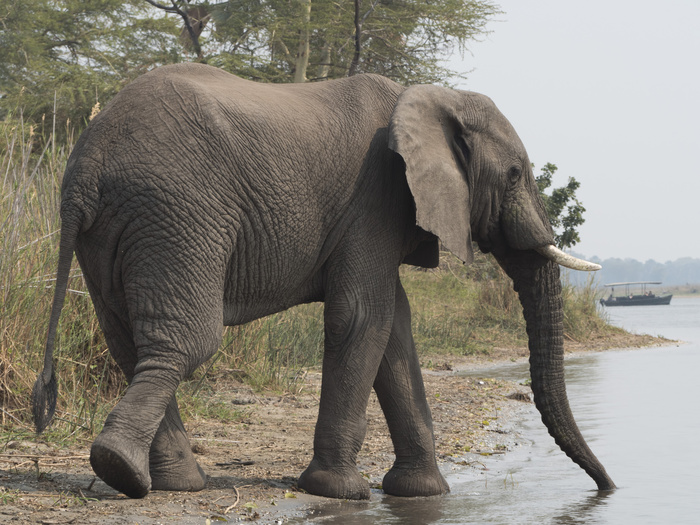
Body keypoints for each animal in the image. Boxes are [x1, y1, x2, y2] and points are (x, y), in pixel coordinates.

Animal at [32, 62, 615, 500]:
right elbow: (361, 316)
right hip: (176, 214)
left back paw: (171, 482)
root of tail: (85, 163)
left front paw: (422, 494)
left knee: (127, 338)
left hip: (118, 229)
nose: (608, 488)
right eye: (515, 175)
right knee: (187, 342)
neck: (430, 99)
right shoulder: (376, 196)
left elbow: (394, 327)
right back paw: (124, 471)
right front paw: (340, 492)